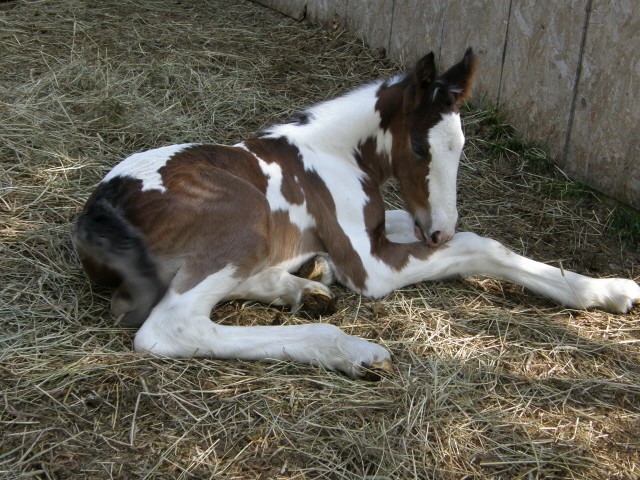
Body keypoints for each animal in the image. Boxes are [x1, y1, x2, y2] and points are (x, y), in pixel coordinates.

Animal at [75, 48, 640, 378]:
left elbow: (481, 239)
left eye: (461, 145)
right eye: (420, 147)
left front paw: (608, 289)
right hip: (245, 221)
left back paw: (301, 287)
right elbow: (479, 245)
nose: (438, 231)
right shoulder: (371, 267)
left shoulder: (377, 225)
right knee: (172, 327)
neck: (335, 152)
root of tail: (101, 206)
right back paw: (350, 349)